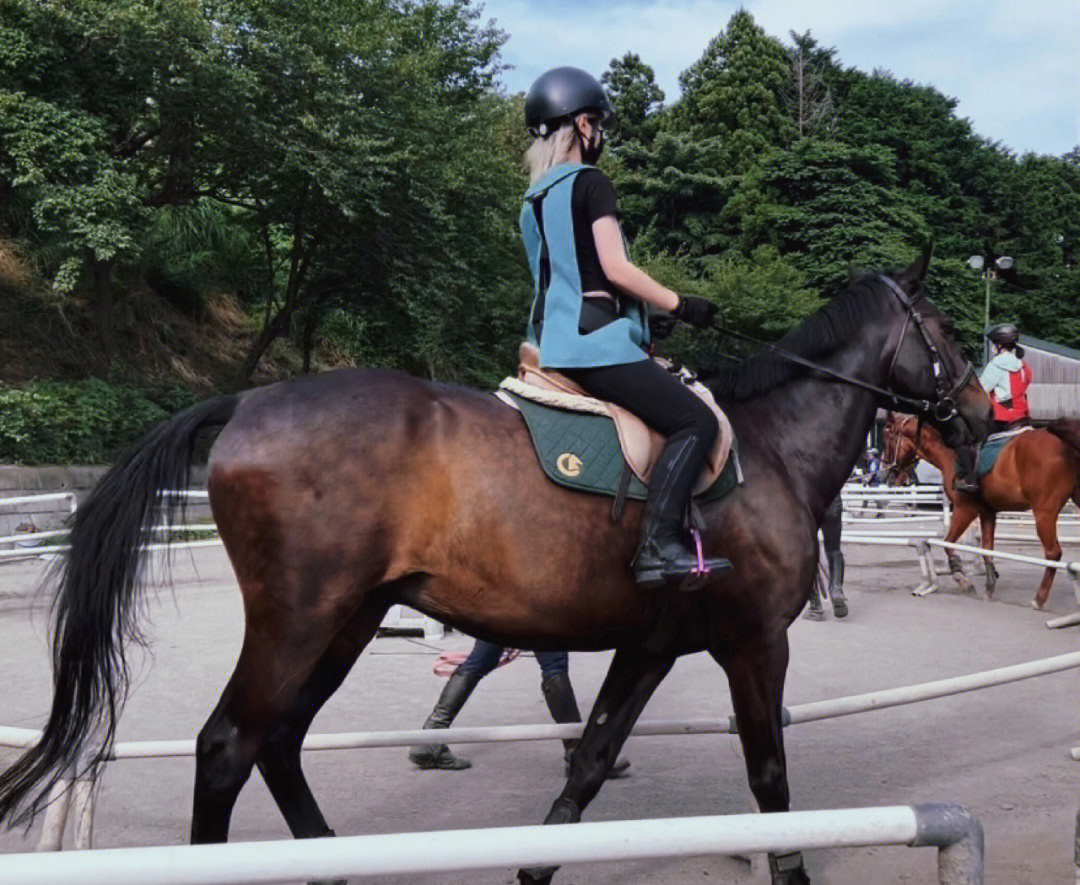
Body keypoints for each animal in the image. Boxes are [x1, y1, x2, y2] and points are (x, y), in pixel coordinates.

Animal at [0, 250, 989, 885]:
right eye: (944, 329)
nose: (981, 415)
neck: (771, 450)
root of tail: (248, 400)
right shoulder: (752, 645)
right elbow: (772, 780)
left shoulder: (652, 646)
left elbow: (588, 763)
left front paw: (536, 866)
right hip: (300, 619)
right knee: (227, 747)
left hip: (348, 620)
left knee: (276, 741)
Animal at [885, 412, 1080, 609]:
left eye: (889, 437)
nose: (889, 476)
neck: (951, 454)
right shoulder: (987, 512)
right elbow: (987, 549)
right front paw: (989, 587)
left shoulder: (965, 510)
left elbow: (949, 543)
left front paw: (962, 579)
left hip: (1043, 513)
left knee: (1053, 553)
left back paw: (1039, 598)